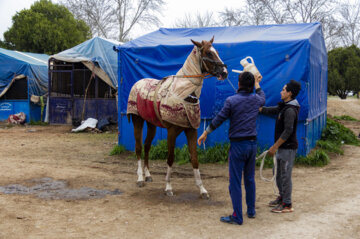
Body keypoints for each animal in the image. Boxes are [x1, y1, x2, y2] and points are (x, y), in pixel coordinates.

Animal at [127, 37, 228, 198]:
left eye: (217, 51)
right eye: (208, 53)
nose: (224, 72)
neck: (184, 95)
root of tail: (137, 83)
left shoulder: (191, 130)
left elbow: (194, 159)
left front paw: (202, 189)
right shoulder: (172, 132)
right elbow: (170, 158)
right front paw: (168, 187)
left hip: (151, 124)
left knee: (147, 146)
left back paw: (148, 175)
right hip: (138, 121)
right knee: (138, 148)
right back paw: (140, 178)